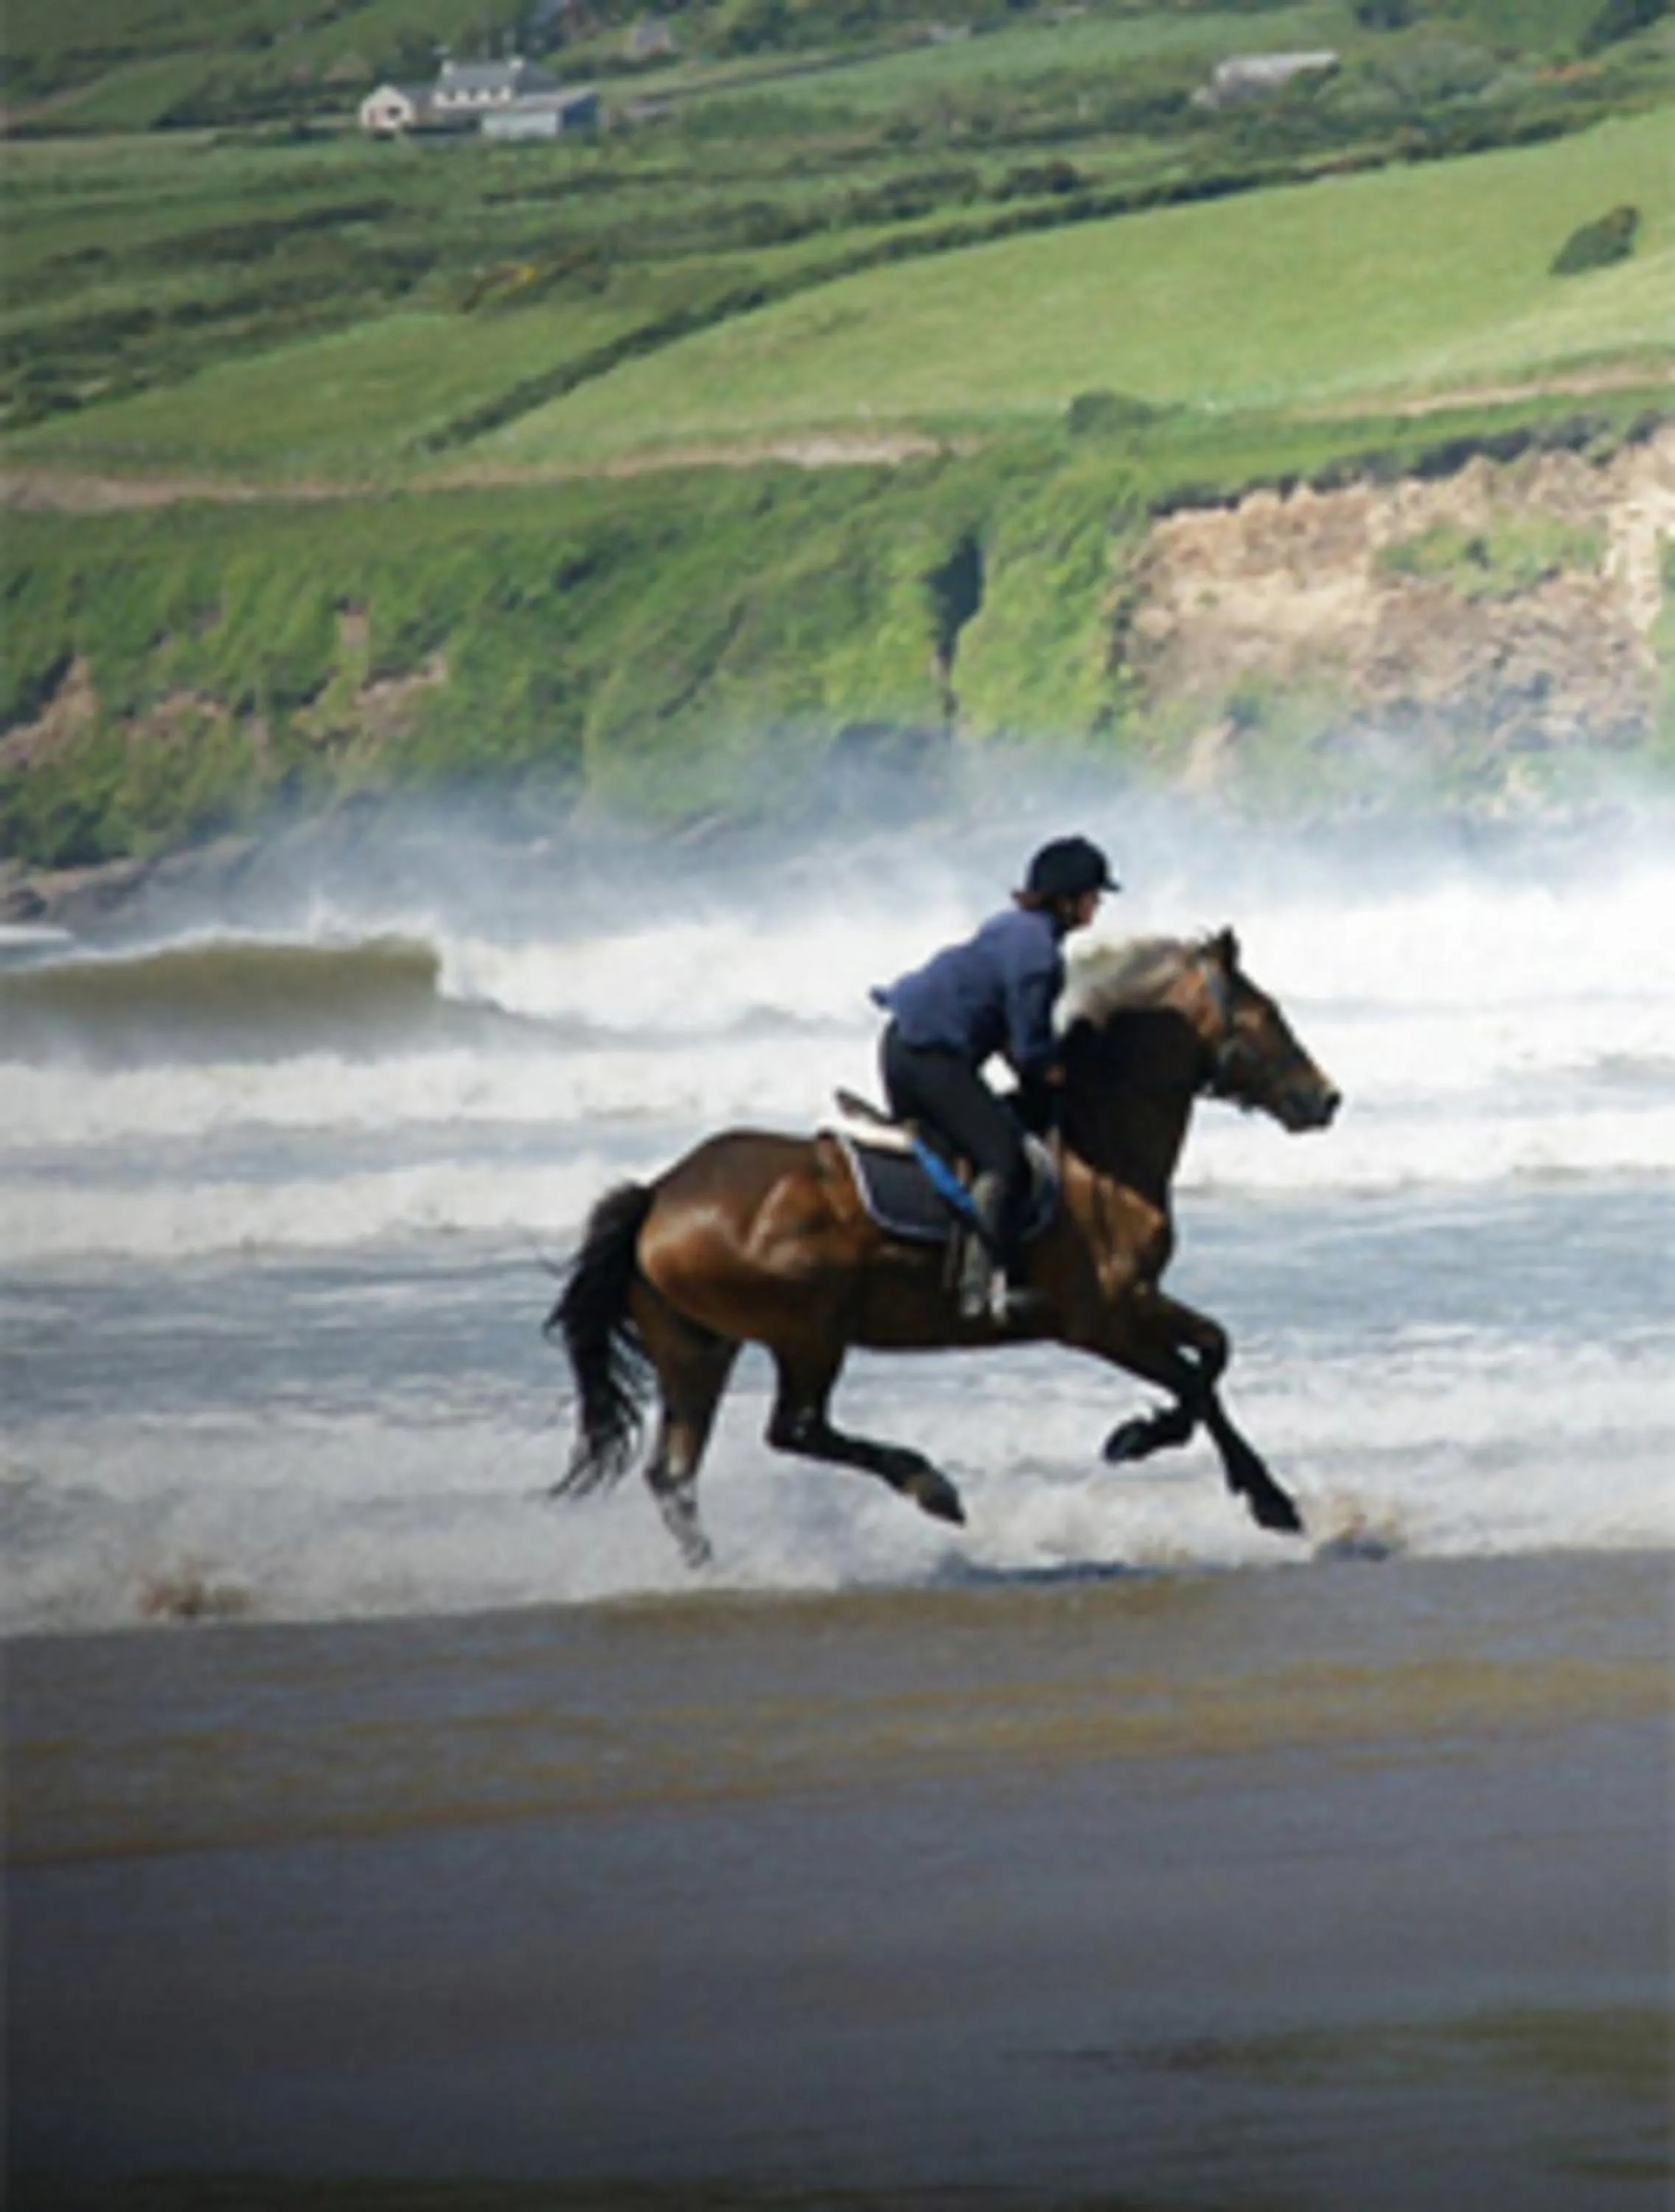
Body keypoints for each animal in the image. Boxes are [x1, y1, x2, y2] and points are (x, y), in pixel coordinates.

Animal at [545, 928, 1339, 1565]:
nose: (1325, 1100)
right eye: (1267, 1017)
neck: (1099, 1143)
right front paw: (1185, 1460)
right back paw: (928, 1485)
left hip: (699, 1349)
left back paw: (714, 1569)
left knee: (676, 1474)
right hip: (807, 1333)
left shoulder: (1138, 1302)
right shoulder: (1102, 1319)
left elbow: (1213, 1354)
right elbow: (1195, 1380)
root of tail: (657, 1194)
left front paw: (1215, 1470)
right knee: (795, 1428)